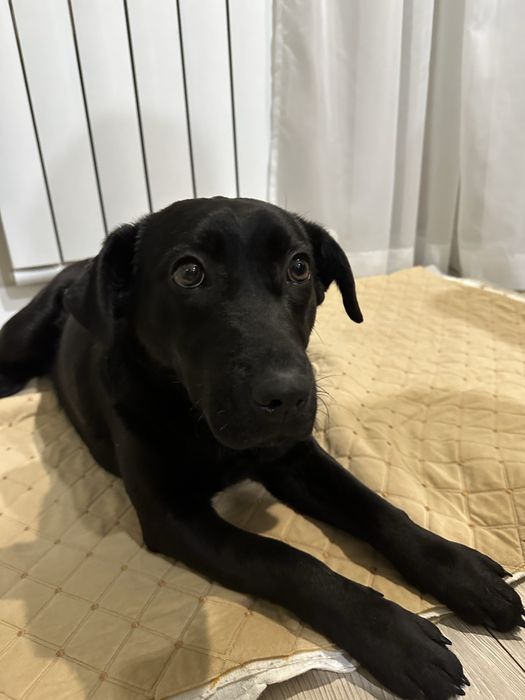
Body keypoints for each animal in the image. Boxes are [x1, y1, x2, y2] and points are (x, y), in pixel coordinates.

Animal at [0, 197, 522, 699]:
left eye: (299, 267)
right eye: (188, 272)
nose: (288, 396)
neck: (198, 422)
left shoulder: (296, 459)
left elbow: (377, 509)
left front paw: (461, 572)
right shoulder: (173, 517)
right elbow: (284, 559)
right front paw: (394, 636)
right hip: (22, 337)